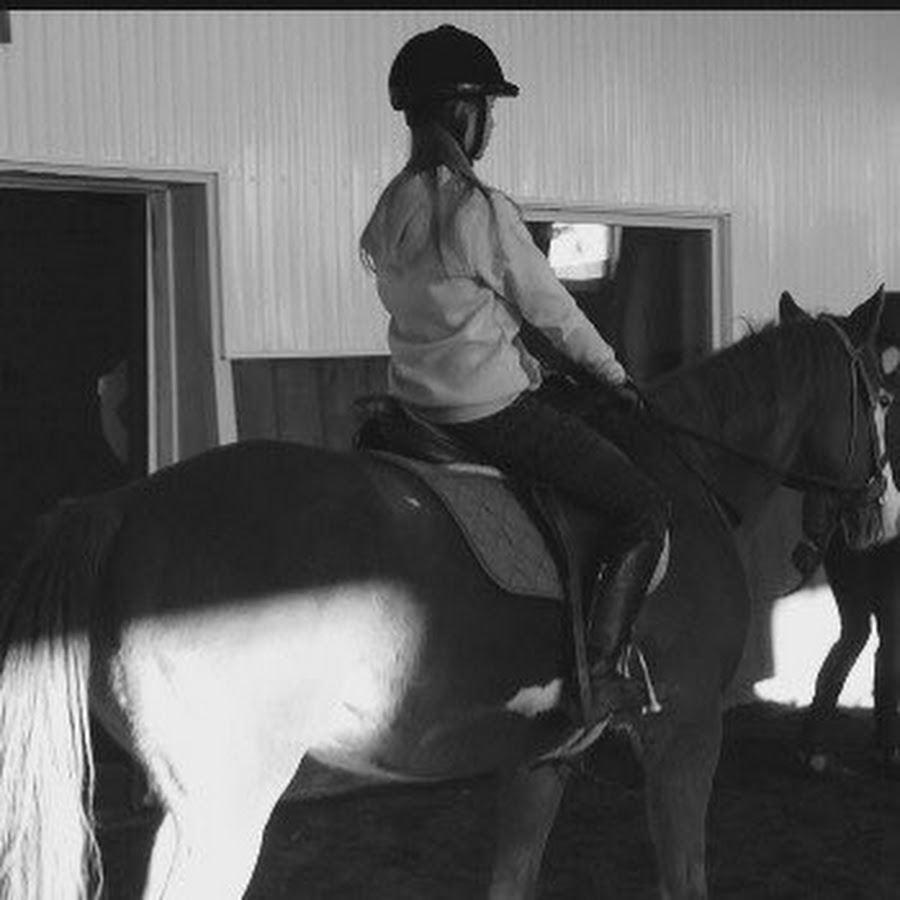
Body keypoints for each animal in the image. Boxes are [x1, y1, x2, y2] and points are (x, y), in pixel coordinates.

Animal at [1, 289, 899, 900]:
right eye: (883, 397)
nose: (877, 513)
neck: (685, 469)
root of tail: (117, 508)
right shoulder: (685, 731)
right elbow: (686, 879)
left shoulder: (543, 758)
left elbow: (513, 878)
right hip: (223, 808)